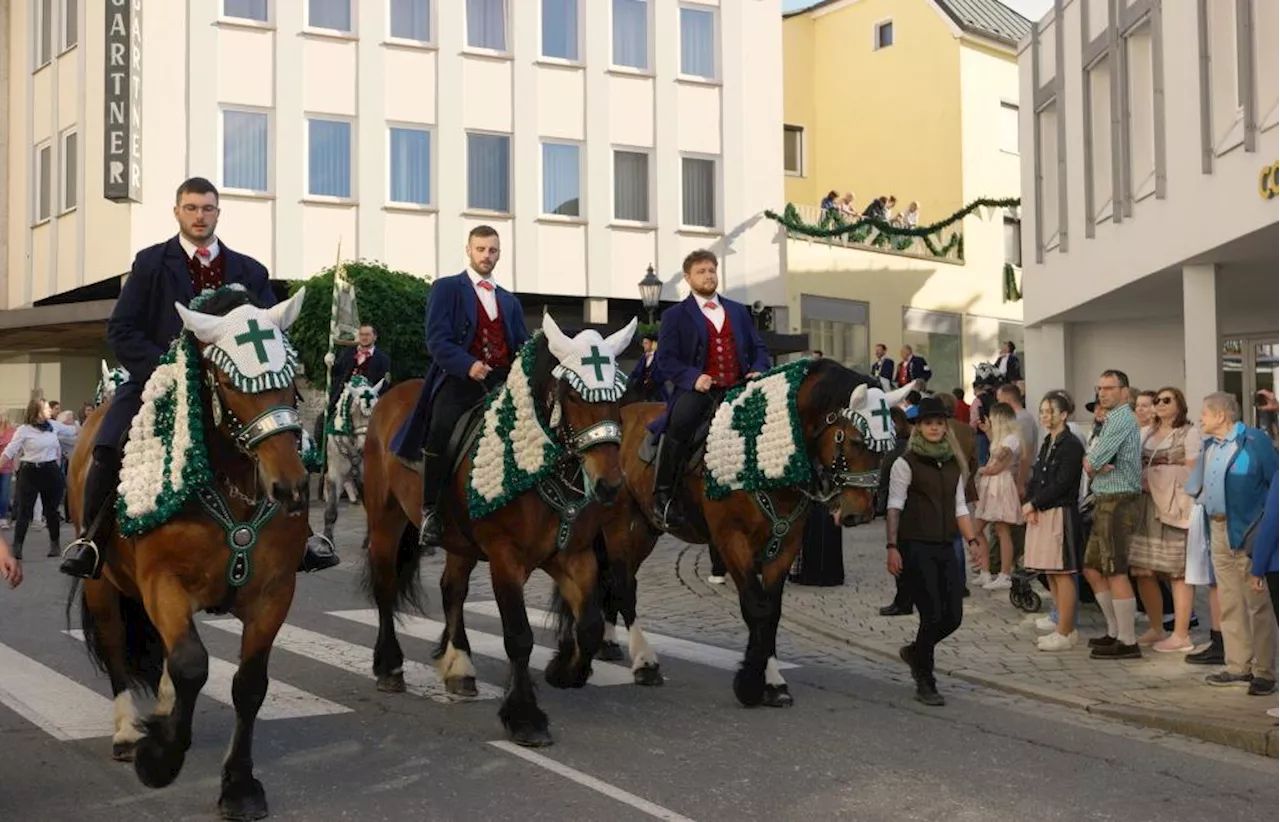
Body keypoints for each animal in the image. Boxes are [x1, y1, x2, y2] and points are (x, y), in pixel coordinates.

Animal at [69, 284, 312, 814]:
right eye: (228, 382)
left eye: (292, 379)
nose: (290, 488)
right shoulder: (163, 582)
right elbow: (191, 664)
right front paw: (159, 759)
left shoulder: (275, 592)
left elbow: (248, 685)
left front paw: (239, 785)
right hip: (101, 585)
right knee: (117, 648)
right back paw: (128, 733)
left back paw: (162, 711)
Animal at [360, 312, 634, 742]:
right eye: (574, 396)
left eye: (619, 396)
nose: (609, 485)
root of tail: (392, 394)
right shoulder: (507, 559)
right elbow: (518, 636)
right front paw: (524, 716)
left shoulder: (571, 555)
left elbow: (589, 624)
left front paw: (565, 671)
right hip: (385, 520)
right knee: (386, 586)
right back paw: (389, 666)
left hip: (459, 542)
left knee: (451, 590)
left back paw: (460, 667)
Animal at [599, 363, 921, 706]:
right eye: (857, 441)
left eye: (886, 447)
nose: (859, 513)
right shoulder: (731, 540)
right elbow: (756, 606)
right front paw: (750, 683)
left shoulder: (786, 543)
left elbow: (772, 612)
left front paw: (773, 681)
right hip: (621, 523)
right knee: (623, 583)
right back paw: (644, 662)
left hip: (647, 529)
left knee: (619, 579)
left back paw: (610, 644)